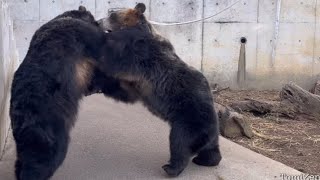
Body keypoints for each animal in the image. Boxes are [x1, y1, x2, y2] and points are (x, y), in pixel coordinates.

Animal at [97, 3, 222, 177]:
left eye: (112, 14)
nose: (98, 21)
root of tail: (212, 128)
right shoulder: (137, 83)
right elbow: (126, 91)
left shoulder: (139, 53)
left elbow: (115, 60)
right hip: (209, 131)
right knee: (211, 150)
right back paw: (205, 160)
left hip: (189, 120)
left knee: (180, 143)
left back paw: (171, 168)